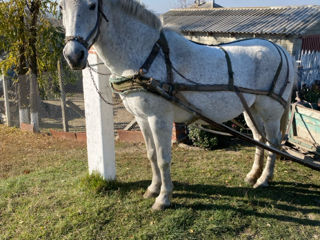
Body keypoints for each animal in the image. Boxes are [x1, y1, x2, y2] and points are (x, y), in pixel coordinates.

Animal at [60, 0, 296, 210]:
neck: (145, 56)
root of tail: (283, 51)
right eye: (61, 6)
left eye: (92, 5)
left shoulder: (159, 119)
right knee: (260, 140)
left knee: (274, 142)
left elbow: (164, 158)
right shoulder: (142, 118)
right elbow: (151, 154)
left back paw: (264, 179)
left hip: (270, 113)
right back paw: (253, 175)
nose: (74, 56)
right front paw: (153, 189)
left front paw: (163, 198)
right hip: (251, 110)